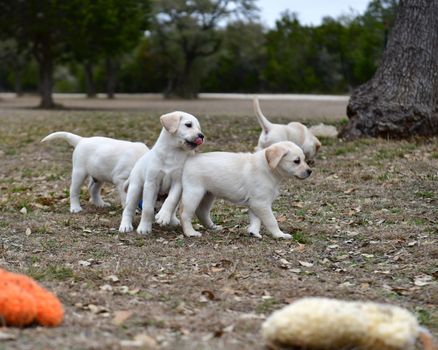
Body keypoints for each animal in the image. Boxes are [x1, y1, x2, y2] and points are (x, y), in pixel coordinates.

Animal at [181, 141, 312, 239]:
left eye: (304, 159)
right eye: (296, 161)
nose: (310, 171)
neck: (268, 168)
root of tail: (190, 159)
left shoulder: (255, 203)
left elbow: (256, 220)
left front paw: (253, 232)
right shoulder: (261, 203)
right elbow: (271, 221)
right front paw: (280, 235)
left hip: (208, 195)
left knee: (202, 212)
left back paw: (213, 227)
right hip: (193, 194)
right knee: (185, 214)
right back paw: (190, 233)